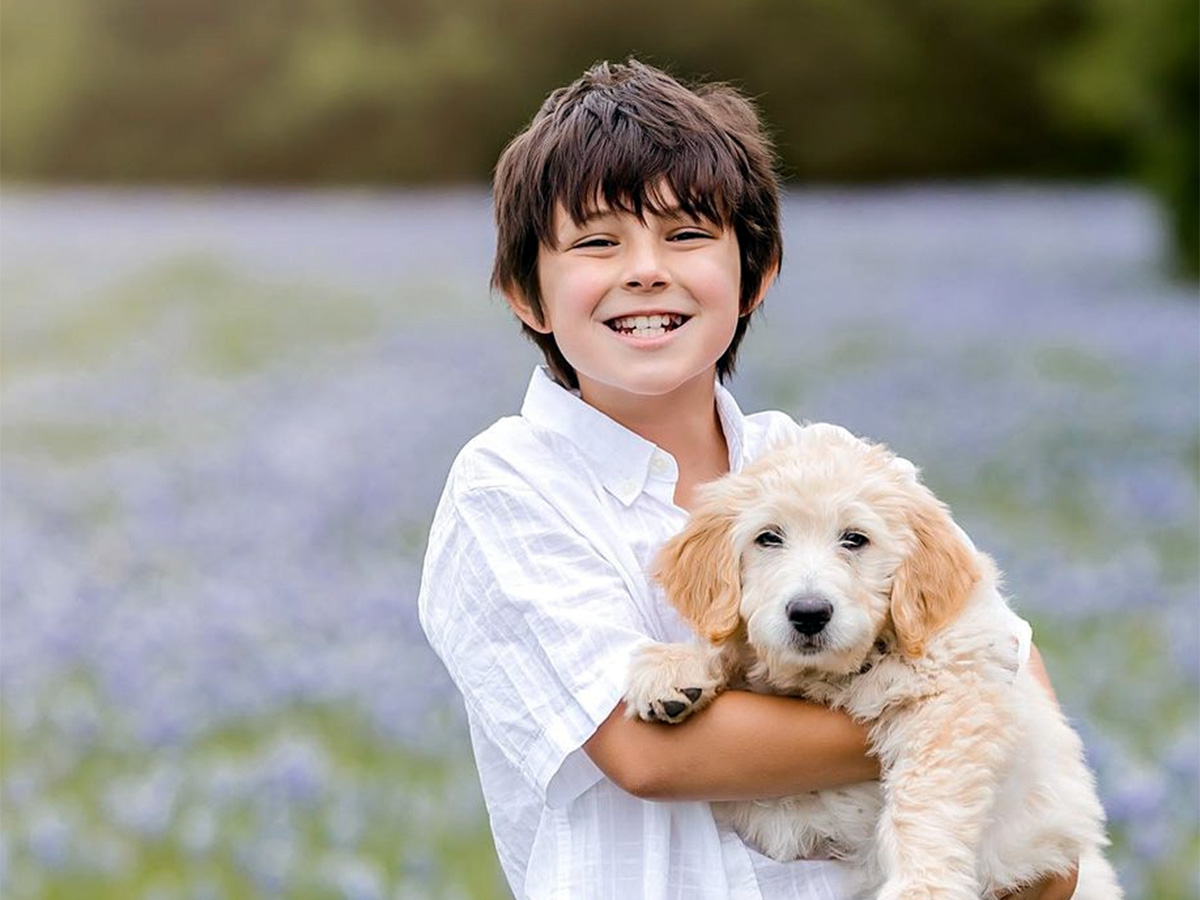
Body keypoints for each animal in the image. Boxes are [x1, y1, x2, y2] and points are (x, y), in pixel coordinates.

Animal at [624, 427, 1118, 900]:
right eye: (768, 537)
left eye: (855, 539)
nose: (808, 613)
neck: (846, 668)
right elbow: (728, 648)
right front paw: (672, 670)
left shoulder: (956, 701)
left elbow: (922, 799)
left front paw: (921, 890)